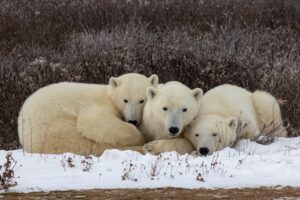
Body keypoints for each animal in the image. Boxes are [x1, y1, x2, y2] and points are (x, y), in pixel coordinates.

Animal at [17, 72, 158, 155]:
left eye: (142, 100)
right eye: (125, 100)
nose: (132, 120)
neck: (109, 96)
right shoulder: (97, 105)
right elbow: (92, 121)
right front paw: (142, 138)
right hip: (53, 129)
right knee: (86, 144)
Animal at [146, 83, 288, 155]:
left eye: (215, 134)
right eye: (196, 134)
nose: (204, 150)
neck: (215, 110)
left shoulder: (244, 120)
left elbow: (252, 135)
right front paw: (151, 146)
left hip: (261, 103)